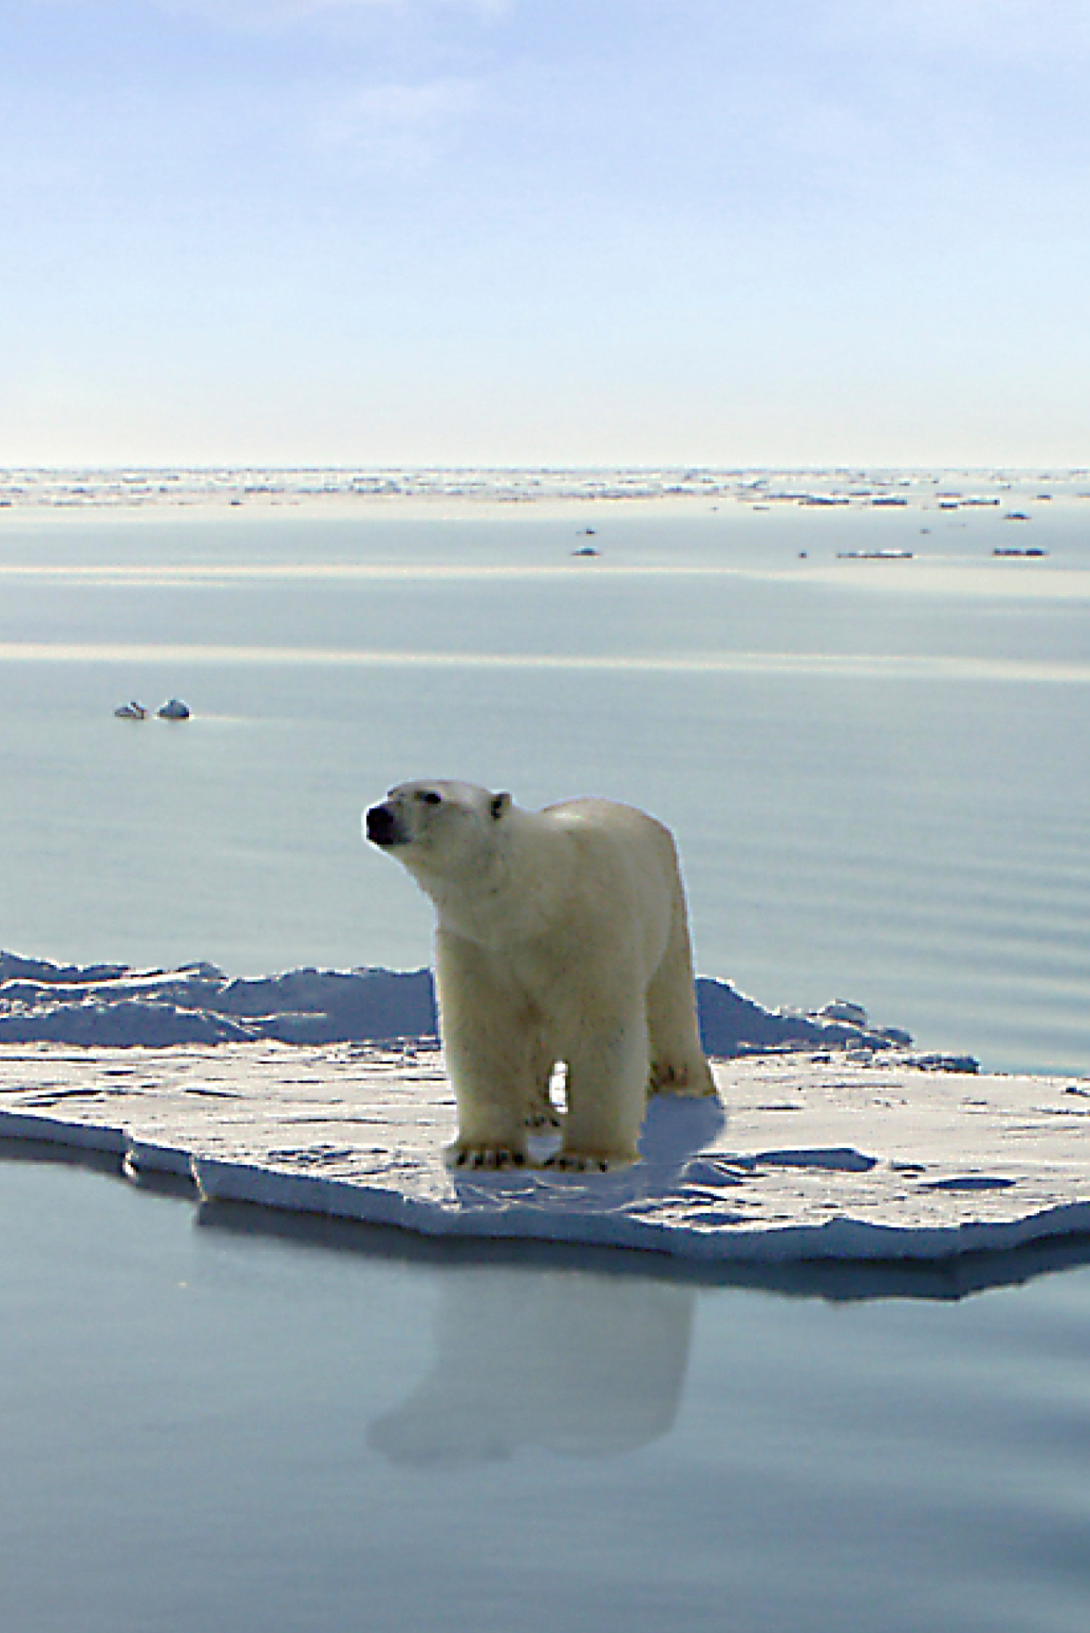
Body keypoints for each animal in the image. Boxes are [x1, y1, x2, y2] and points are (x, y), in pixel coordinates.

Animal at [364, 780, 716, 1171]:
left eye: (431, 797)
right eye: (391, 792)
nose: (377, 815)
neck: (533, 904)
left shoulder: (592, 937)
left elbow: (602, 1031)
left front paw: (585, 1156)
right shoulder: (478, 947)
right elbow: (486, 1031)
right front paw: (487, 1151)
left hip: (669, 913)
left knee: (669, 1003)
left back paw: (682, 1083)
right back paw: (536, 1113)